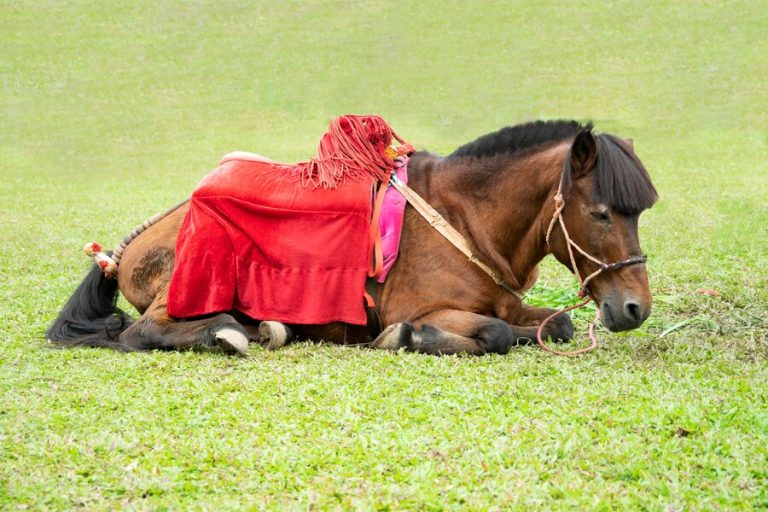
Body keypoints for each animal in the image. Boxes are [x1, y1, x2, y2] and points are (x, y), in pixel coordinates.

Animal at [47, 119, 658, 356]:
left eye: (638, 215)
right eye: (603, 214)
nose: (635, 309)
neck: (467, 220)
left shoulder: (513, 302)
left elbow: (556, 324)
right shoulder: (426, 307)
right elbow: (496, 334)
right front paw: (410, 338)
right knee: (144, 331)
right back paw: (228, 332)